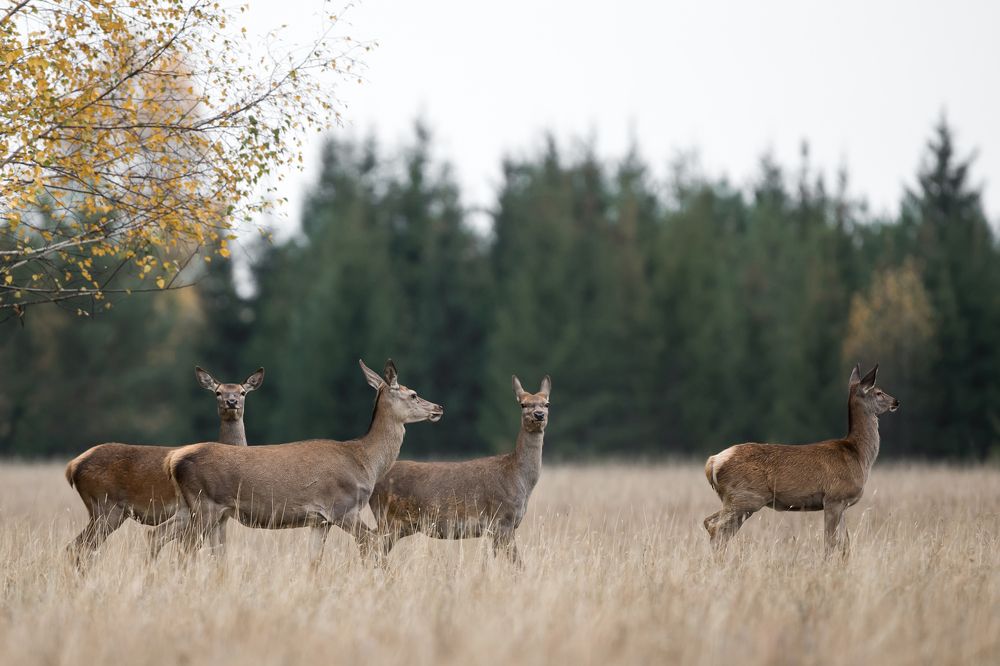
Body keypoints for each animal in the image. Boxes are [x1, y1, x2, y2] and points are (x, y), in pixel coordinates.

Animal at [64, 367, 264, 568]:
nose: (231, 402)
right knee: (80, 546)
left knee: (76, 546)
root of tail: (72, 466)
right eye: (218, 392)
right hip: (106, 507)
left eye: (242, 392)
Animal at [153, 359, 443, 566]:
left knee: (157, 536)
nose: (438, 408)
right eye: (413, 394)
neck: (365, 461)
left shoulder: (320, 520)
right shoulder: (342, 508)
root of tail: (173, 460)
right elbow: (372, 545)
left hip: (190, 508)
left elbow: (314, 561)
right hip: (205, 506)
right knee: (183, 549)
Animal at [361, 375, 551, 566]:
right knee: (370, 543)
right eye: (523, 404)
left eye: (547, 403)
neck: (519, 477)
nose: (539, 415)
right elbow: (518, 564)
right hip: (390, 518)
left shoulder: (498, 527)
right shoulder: (502, 519)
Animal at [703, 363, 899, 557]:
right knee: (716, 528)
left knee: (711, 523)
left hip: (735, 499)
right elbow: (831, 543)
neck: (859, 455)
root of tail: (712, 462)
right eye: (879, 392)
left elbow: (845, 545)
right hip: (746, 497)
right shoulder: (834, 497)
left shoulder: (843, 504)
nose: (896, 401)